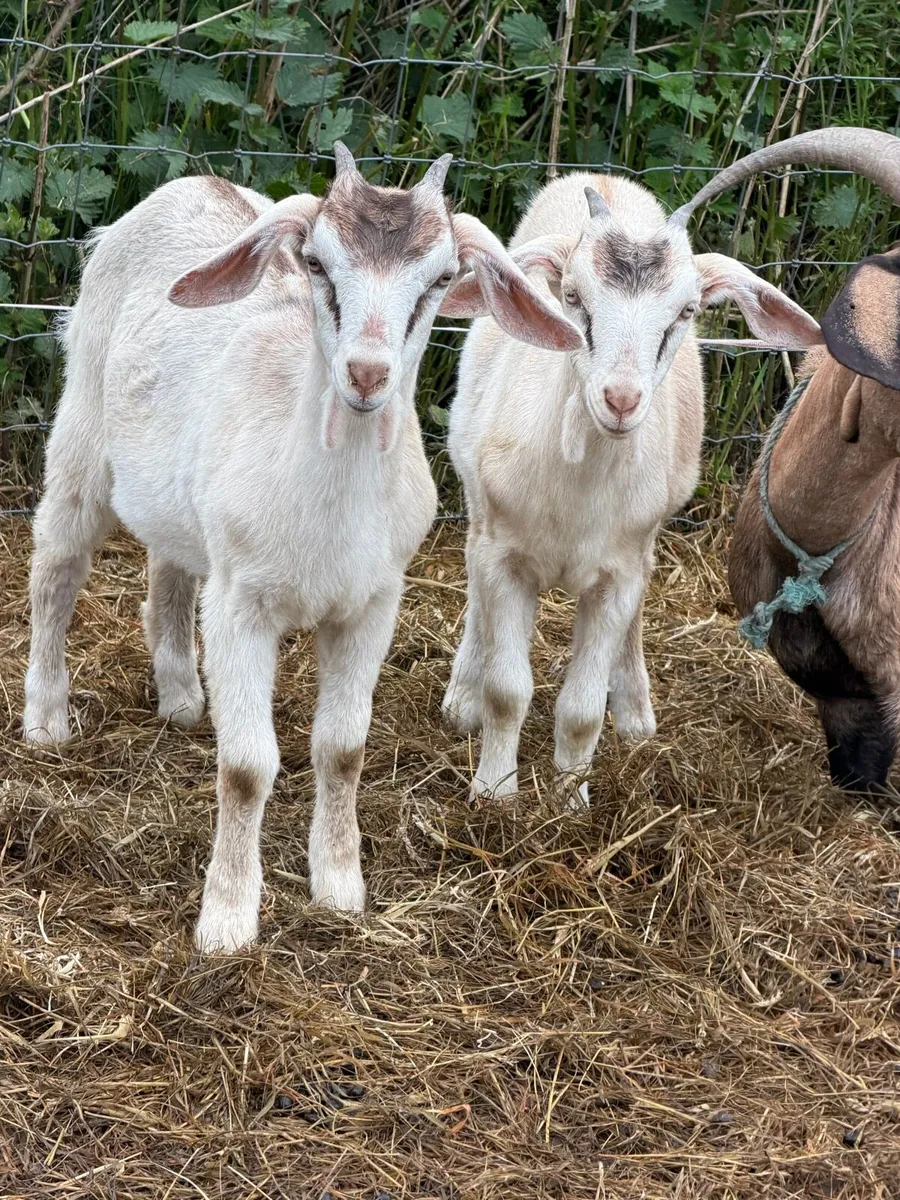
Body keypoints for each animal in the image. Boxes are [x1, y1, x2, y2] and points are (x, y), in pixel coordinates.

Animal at [22, 145, 582, 951]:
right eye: (317, 261)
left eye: (440, 278)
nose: (367, 373)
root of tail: (191, 183)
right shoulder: (241, 604)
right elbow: (247, 767)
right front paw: (227, 922)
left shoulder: (374, 601)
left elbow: (343, 749)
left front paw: (340, 889)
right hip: (82, 425)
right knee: (56, 566)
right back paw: (46, 718)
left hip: (180, 498)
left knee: (168, 567)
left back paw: (182, 697)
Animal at [441, 160, 823, 805]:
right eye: (572, 296)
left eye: (687, 312)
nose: (620, 400)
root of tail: (602, 177)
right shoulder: (505, 554)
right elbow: (507, 690)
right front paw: (494, 794)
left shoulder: (617, 572)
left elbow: (580, 709)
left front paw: (569, 802)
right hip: (472, 484)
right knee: (469, 566)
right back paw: (461, 696)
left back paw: (636, 712)